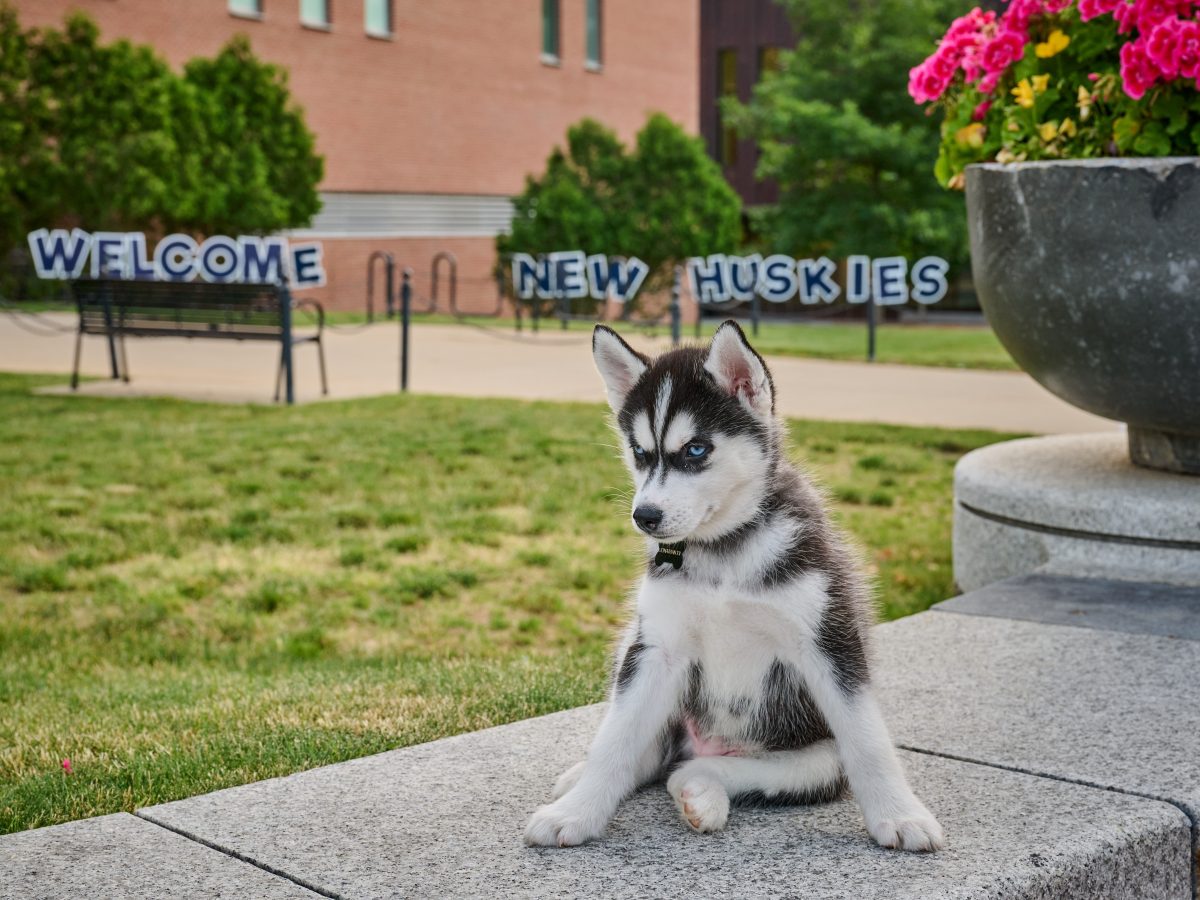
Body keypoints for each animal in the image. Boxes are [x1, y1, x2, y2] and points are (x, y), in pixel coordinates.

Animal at [528, 321, 945, 854]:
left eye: (696, 450)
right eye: (639, 452)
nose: (645, 516)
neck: (723, 552)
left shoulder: (829, 641)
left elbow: (868, 740)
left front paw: (900, 814)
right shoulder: (658, 648)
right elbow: (614, 742)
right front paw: (576, 812)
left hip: (817, 759)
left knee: (701, 771)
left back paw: (701, 791)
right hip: (634, 649)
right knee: (649, 755)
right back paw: (592, 779)